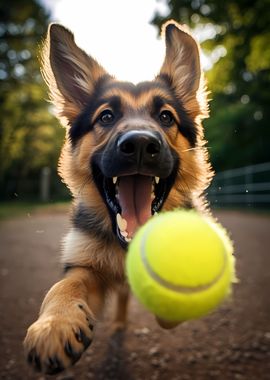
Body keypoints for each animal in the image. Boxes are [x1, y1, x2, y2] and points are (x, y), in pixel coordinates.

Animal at [23, 19, 211, 372]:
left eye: (166, 116)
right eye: (106, 116)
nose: (139, 144)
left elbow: (170, 306)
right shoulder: (84, 266)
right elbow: (63, 287)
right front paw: (55, 324)